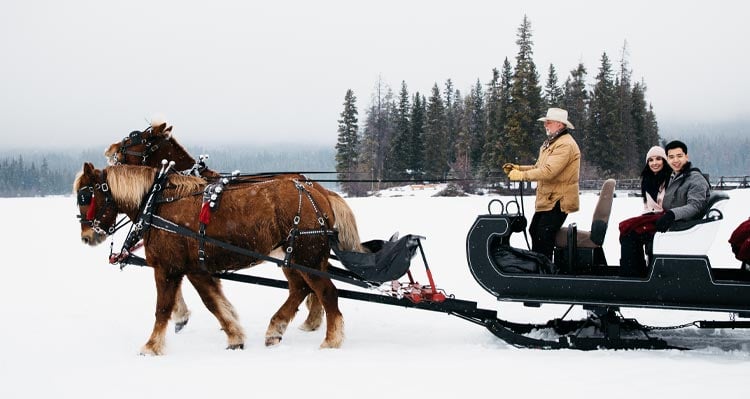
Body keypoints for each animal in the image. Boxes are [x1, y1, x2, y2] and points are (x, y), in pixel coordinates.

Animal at [75, 163, 346, 356]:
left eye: (85, 197)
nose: (86, 237)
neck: (155, 204)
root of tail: (318, 192)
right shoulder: (196, 269)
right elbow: (213, 303)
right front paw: (235, 336)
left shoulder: (167, 268)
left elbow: (162, 308)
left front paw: (151, 346)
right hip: (296, 258)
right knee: (301, 288)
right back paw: (276, 330)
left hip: (307, 259)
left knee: (326, 292)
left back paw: (331, 340)